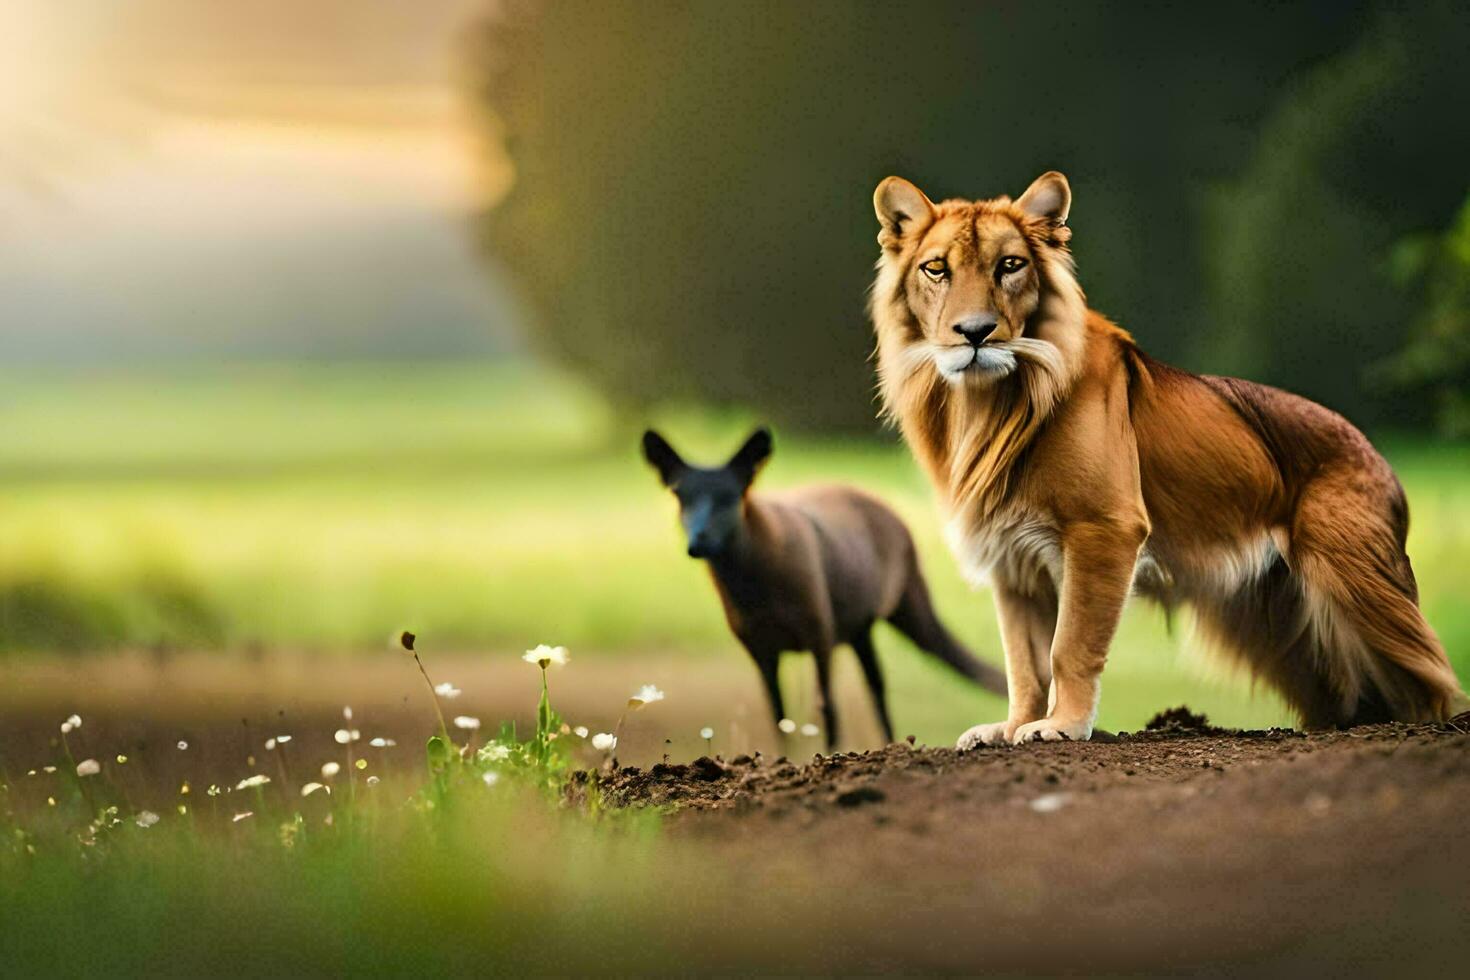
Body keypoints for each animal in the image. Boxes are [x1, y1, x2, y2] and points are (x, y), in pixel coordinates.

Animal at [864, 172, 1464, 746]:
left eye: (1010, 265)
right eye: (936, 269)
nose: (975, 333)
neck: (983, 405)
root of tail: (1379, 457)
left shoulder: (1105, 530)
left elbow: (1068, 646)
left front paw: (1061, 727)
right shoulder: (1012, 558)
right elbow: (1024, 663)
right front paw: (1012, 728)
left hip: (1354, 579)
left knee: (1428, 677)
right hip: (1272, 619)